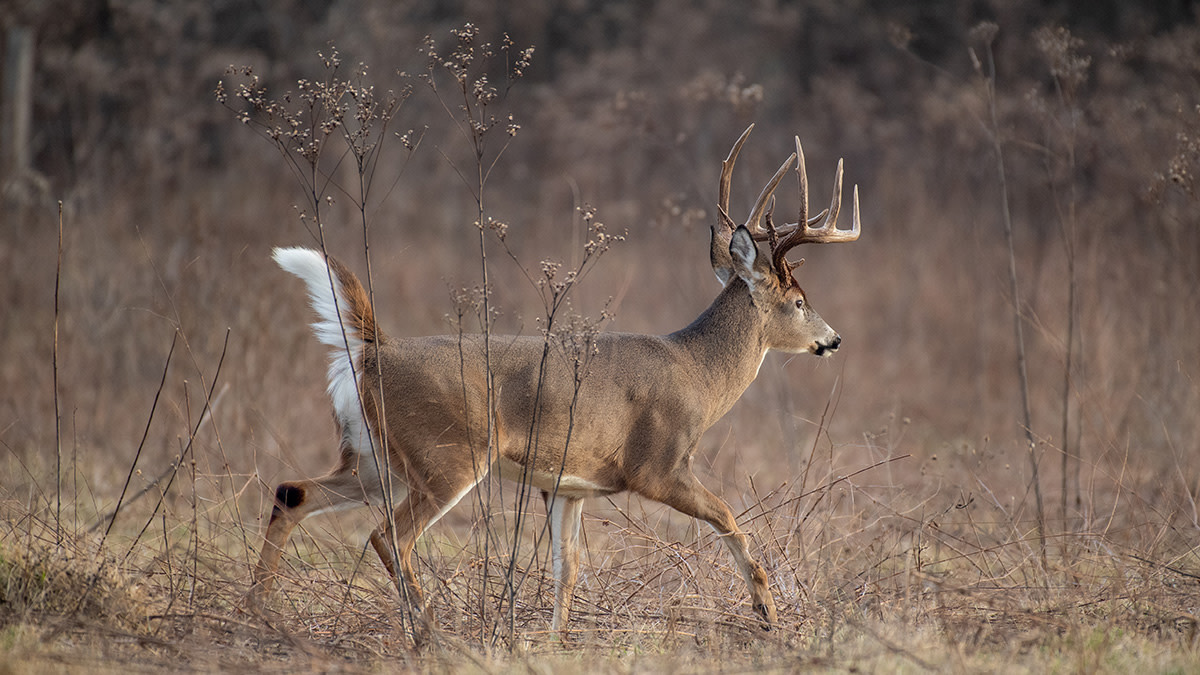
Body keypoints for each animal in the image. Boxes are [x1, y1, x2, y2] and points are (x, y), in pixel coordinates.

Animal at [247, 124, 861, 635]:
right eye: (800, 302)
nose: (833, 339)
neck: (698, 372)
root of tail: (372, 352)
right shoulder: (658, 465)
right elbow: (733, 521)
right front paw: (768, 616)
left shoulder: (569, 486)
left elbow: (567, 567)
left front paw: (555, 639)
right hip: (447, 455)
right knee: (388, 535)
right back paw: (428, 630)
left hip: (375, 458)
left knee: (292, 492)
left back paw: (258, 610)